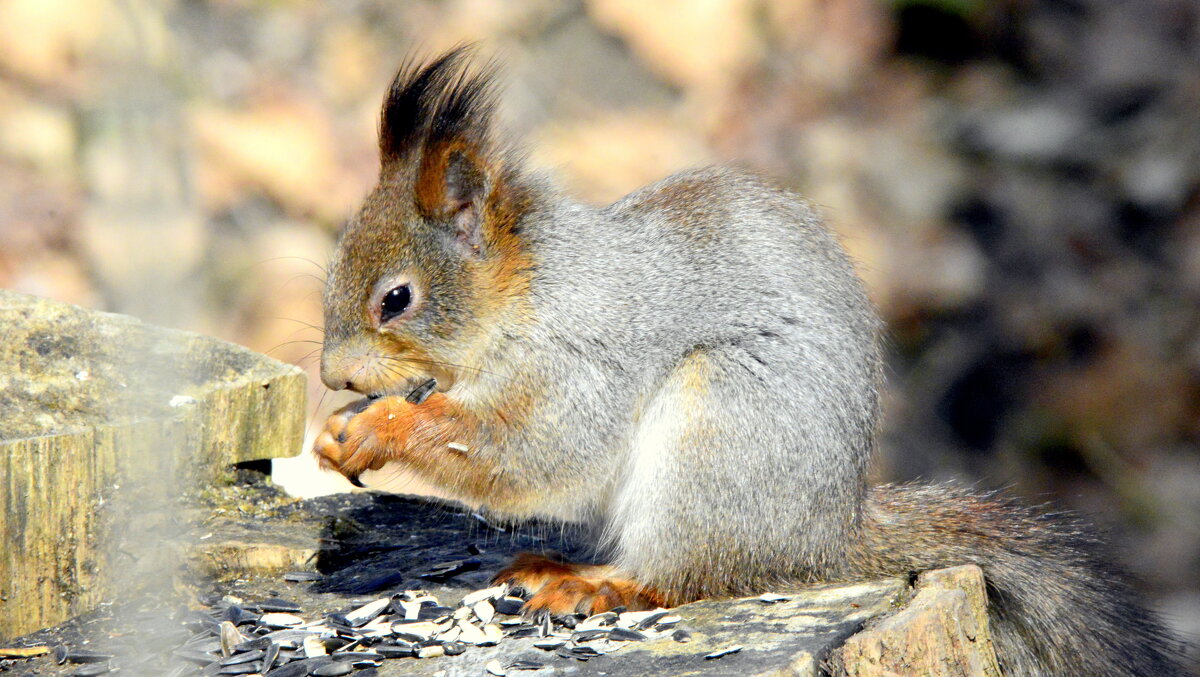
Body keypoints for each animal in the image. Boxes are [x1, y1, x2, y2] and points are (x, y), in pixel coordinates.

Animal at [314, 48, 1185, 677]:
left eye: (396, 298)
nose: (333, 379)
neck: (529, 292)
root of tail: (822, 538)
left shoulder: (585, 357)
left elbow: (529, 450)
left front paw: (379, 428)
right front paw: (336, 431)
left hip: (718, 433)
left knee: (683, 574)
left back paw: (599, 581)